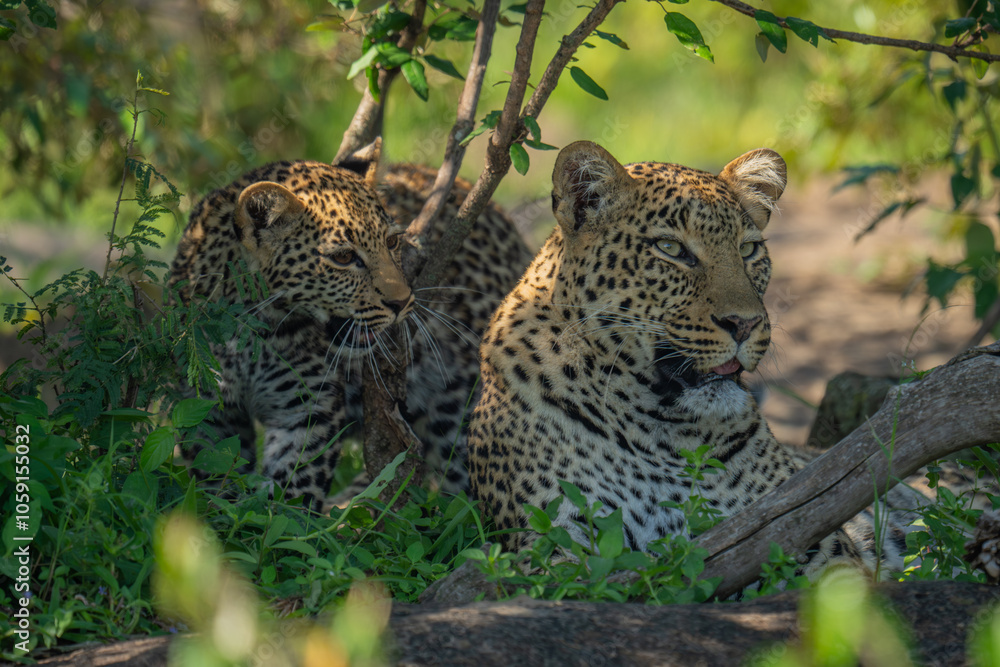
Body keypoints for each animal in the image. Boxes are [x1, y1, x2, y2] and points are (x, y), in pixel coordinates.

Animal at [169, 143, 533, 508]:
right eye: (343, 258)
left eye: (391, 242)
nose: (402, 302)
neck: (251, 326)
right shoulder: (208, 410)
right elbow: (214, 476)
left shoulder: (307, 409)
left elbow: (293, 493)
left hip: (462, 409)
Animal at [467, 139, 929, 579]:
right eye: (670, 248)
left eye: (748, 250)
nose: (744, 323)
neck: (667, 435)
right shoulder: (555, 541)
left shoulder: (799, 529)